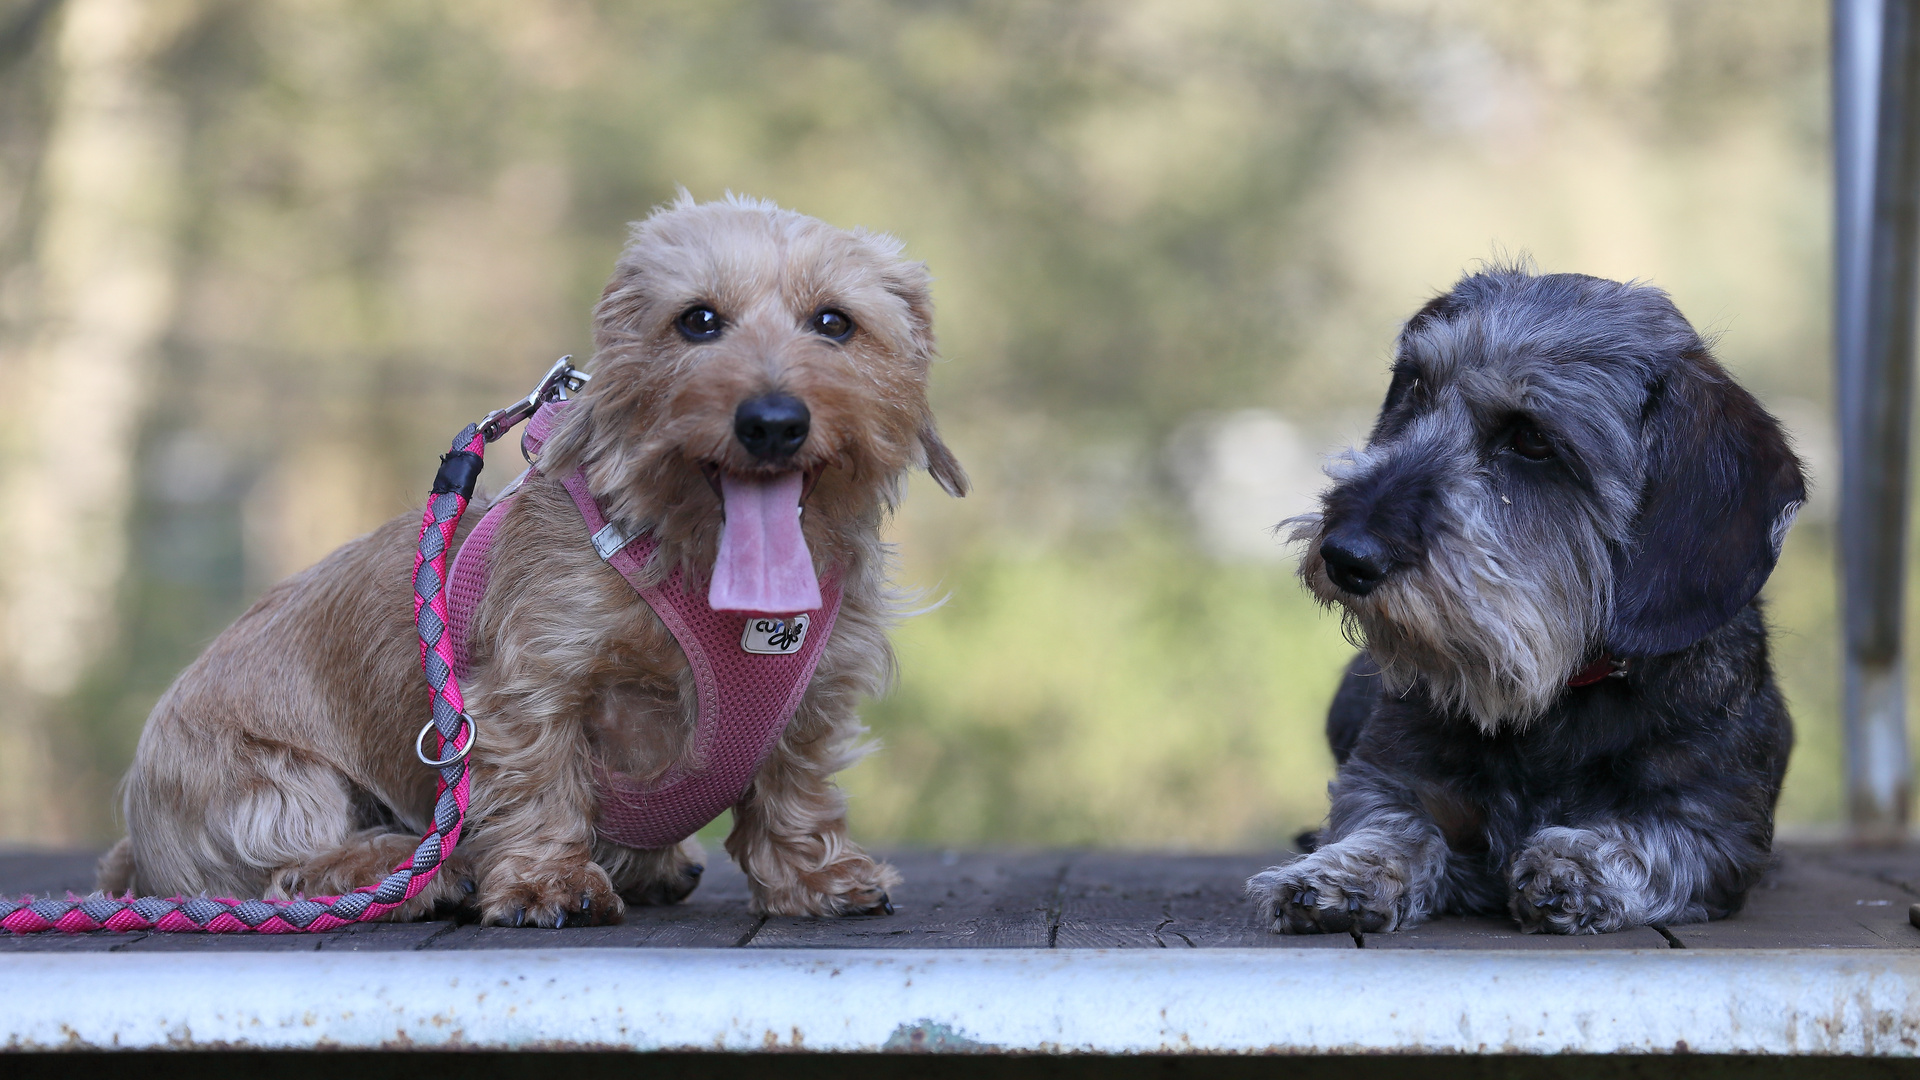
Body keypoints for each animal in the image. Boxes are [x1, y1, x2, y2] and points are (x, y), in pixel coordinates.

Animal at [97, 195, 967, 926]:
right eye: (698, 320)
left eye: (835, 322)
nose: (773, 422)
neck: (698, 563)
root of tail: (137, 844)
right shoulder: (526, 684)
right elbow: (542, 778)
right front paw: (551, 880)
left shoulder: (814, 695)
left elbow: (795, 787)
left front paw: (812, 877)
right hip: (273, 785)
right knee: (298, 868)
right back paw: (430, 873)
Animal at [1251, 265, 1804, 930]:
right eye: (1415, 387)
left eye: (1534, 441)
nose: (1346, 556)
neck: (1558, 693)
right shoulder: (1390, 776)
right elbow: (1393, 822)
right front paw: (1335, 876)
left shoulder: (1716, 830)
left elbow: (1652, 839)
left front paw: (1575, 864)